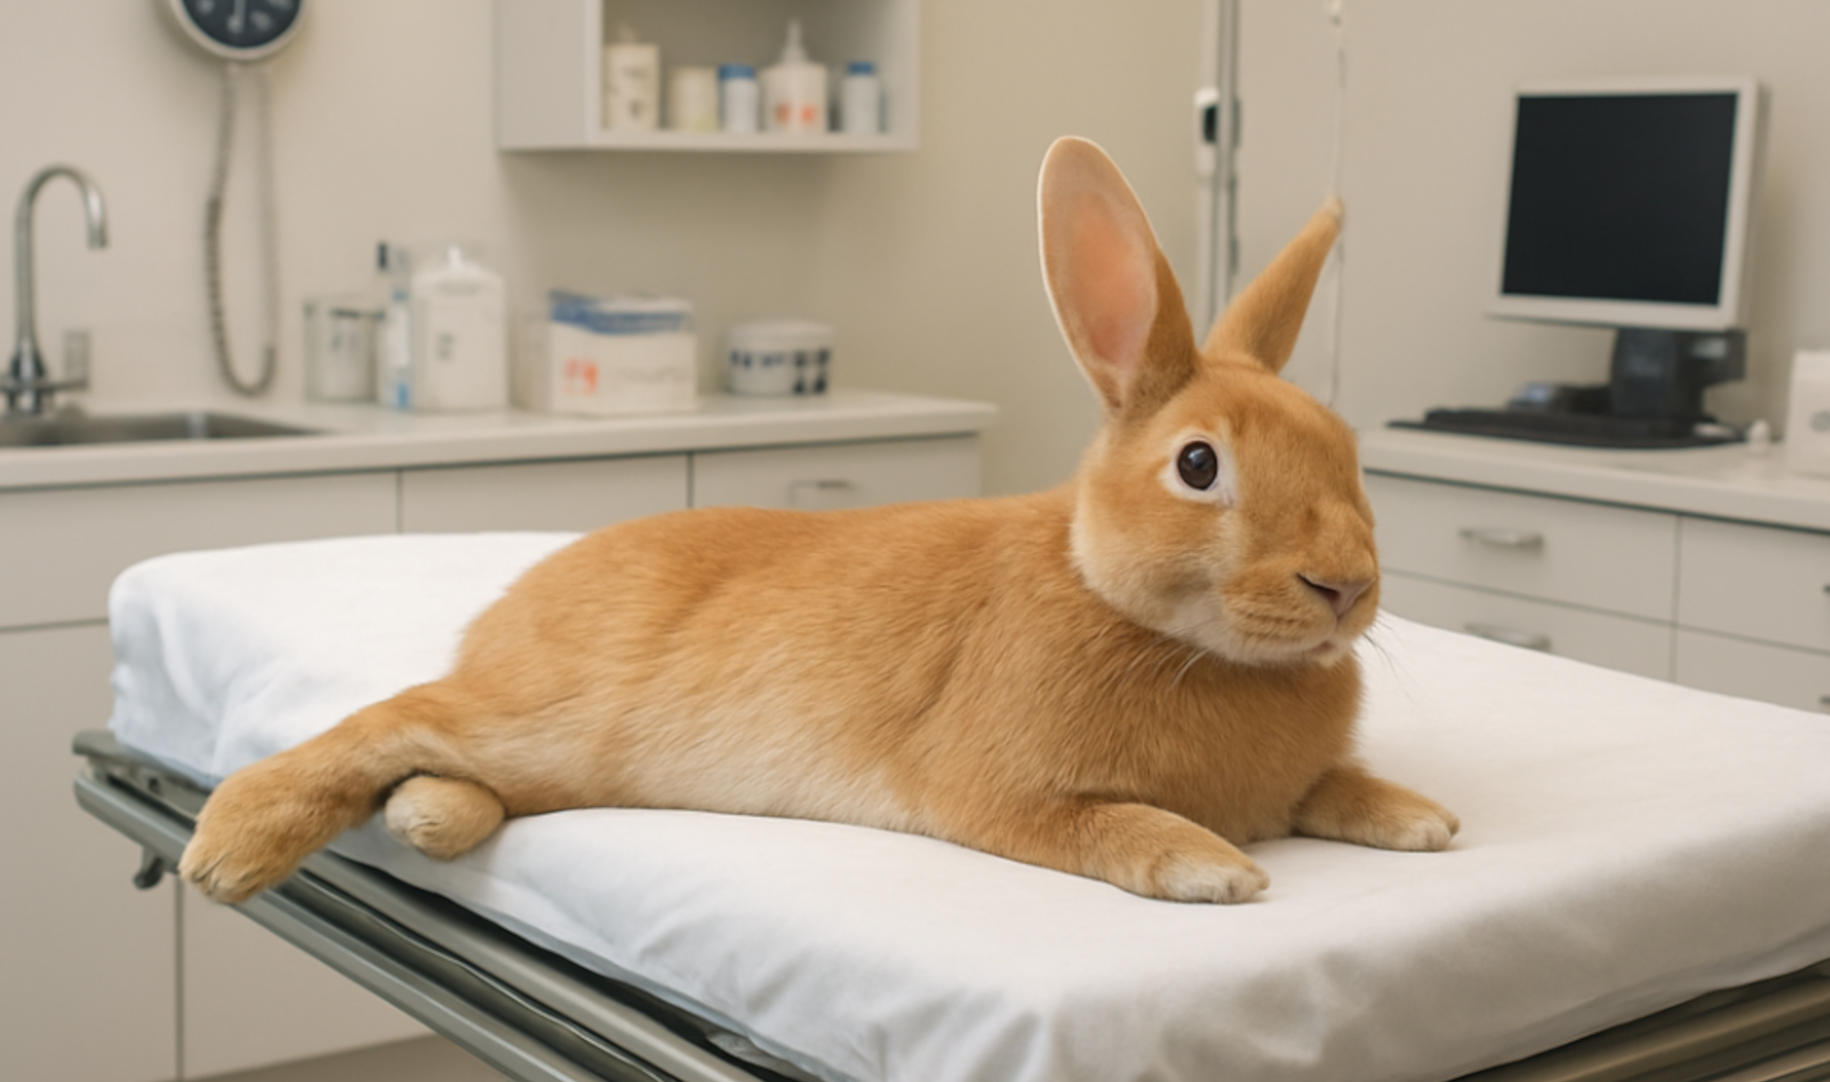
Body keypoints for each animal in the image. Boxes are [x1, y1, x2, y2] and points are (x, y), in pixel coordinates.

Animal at [179, 136, 1458, 907]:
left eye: (1345, 449)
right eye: (1198, 465)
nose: (1345, 585)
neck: (1148, 620)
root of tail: (501, 618)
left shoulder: (1298, 779)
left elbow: (1338, 789)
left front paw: (1424, 820)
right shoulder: (997, 793)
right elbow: (1104, 830)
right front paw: (1213, 868)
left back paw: (429, 818)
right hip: (560, 712)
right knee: (396, 714)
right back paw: (230, 846)